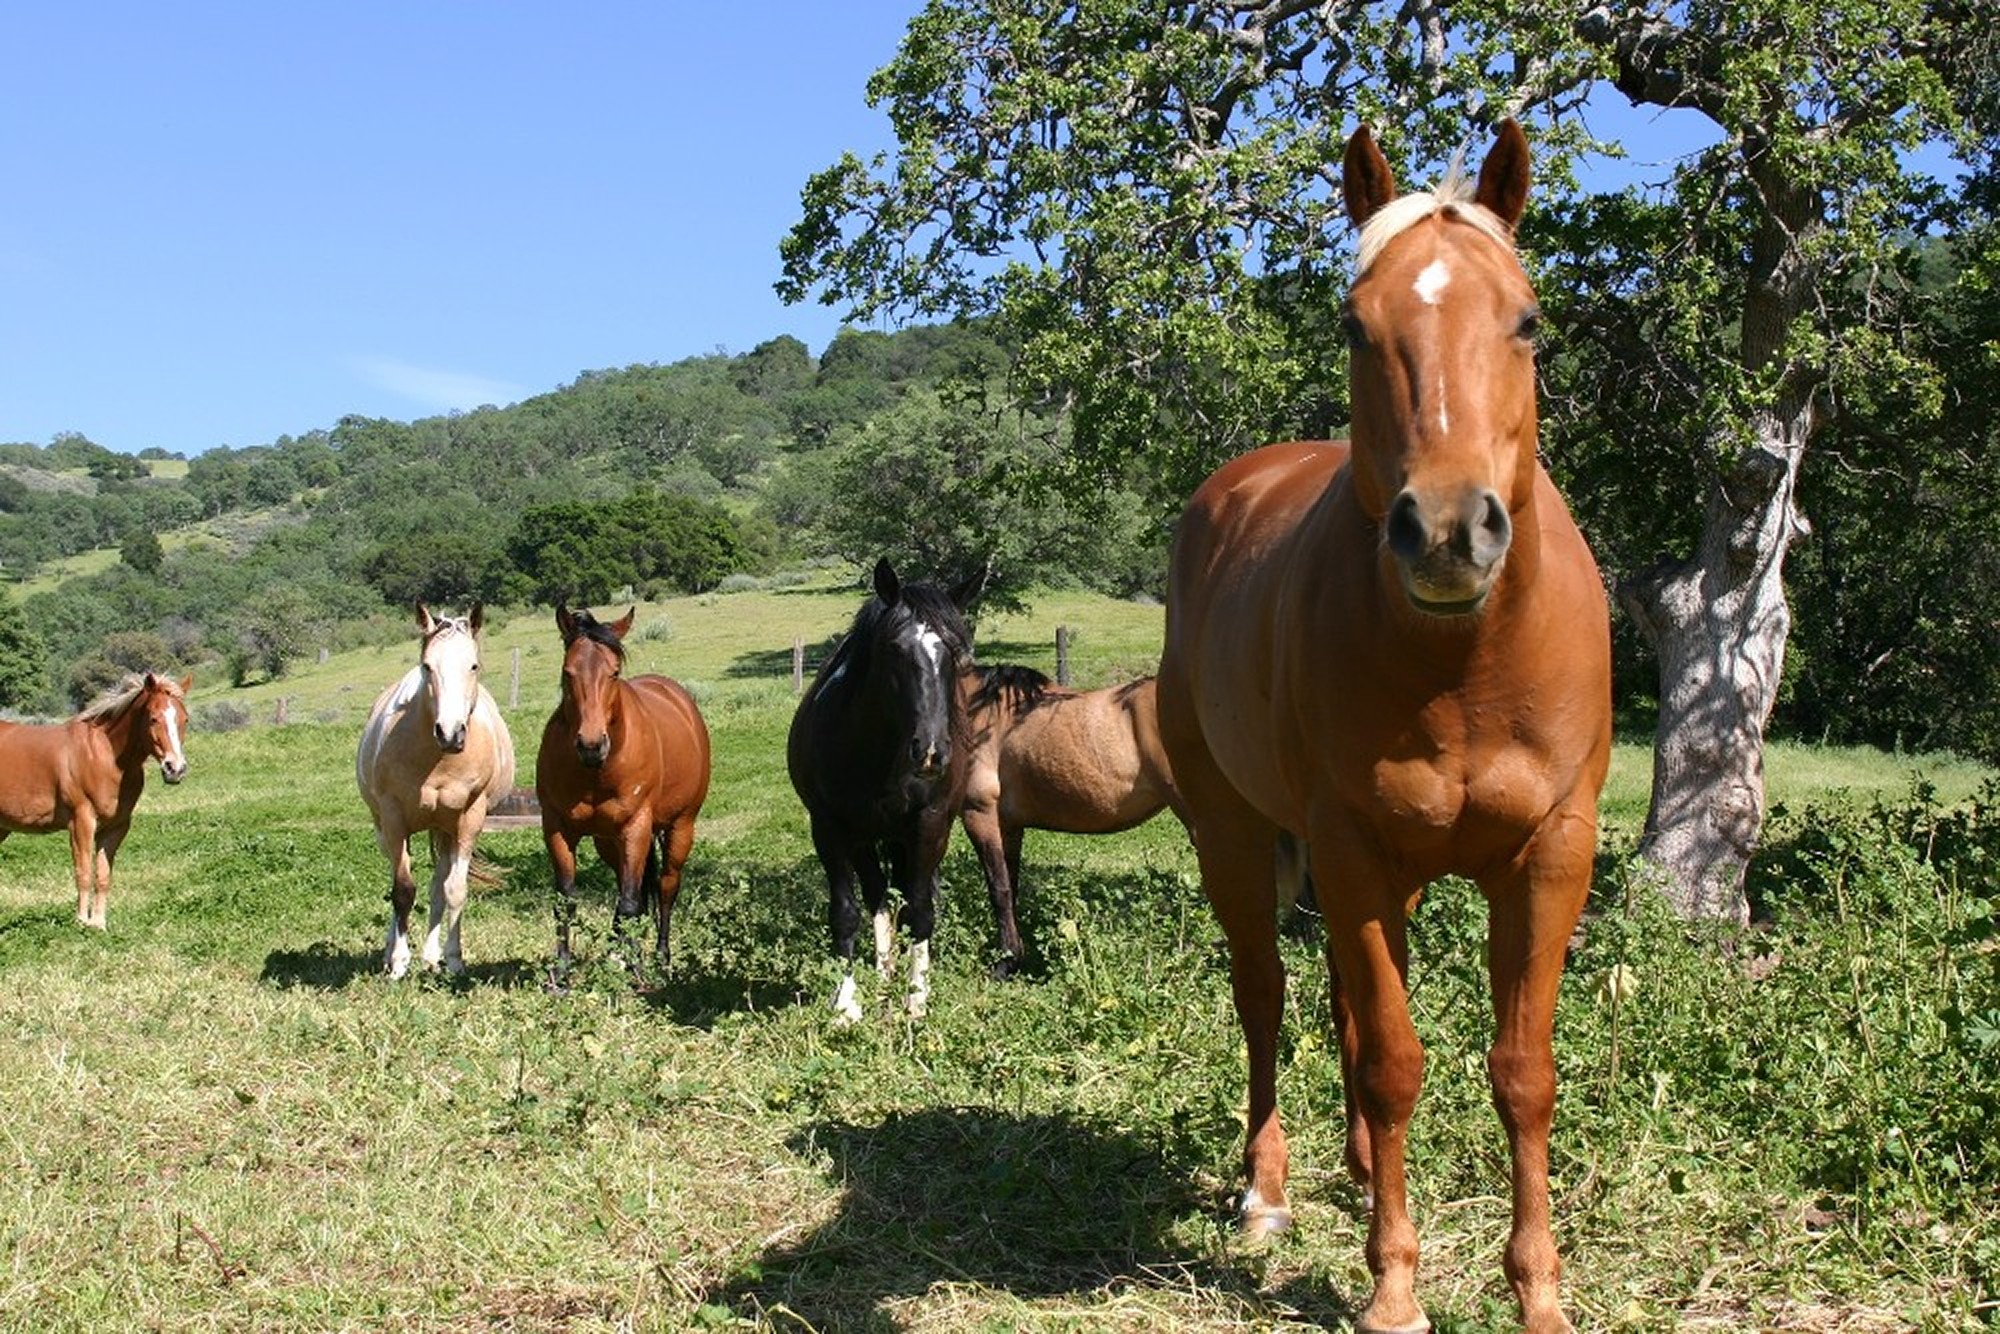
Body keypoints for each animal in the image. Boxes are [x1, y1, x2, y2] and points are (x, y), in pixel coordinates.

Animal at [0, 672, 191, 936]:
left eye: (185, 719)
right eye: (153, 718)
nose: (175, 769)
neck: (104, 756)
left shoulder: (115, 827)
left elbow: (102, 875)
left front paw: (98, 923)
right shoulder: (81, 822)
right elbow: (83, 872)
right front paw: (81, 920)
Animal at [536, 604, 716, 980]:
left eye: (614, 672)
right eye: (567, 672)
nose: (591, 745)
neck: (595, 772)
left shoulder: (636, 827)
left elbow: (632, 901)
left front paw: (633, 967)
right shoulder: (557, 828)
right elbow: (567, 900)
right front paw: (561, 971)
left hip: (679, 828)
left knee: (664, 887)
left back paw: (660, 957)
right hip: (608, 842)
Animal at [784, 560, 972, 1024]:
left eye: (957, 654)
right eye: (894, 650)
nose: (931, 751)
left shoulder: (930, 825)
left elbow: (921, 910)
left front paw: (917, 999)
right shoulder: (830, 829)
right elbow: (846, 913)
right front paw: (846, 1004)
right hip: (867, 839)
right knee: (878, 897)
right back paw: (885, 974)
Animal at [1160, 120, 1608, 1328]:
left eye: (1527, 319)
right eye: (1355, 324)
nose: (1447, 530)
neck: (1462, 667)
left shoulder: (1550, 853)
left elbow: (1522, 1070)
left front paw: (1537, 1290)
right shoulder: (1352, 848)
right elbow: (1395, 1062)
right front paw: (1393, 1288)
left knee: (1344, 1004)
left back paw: (1362, 1171)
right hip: (1237, 838)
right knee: (1267, 998)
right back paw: (1268, 1192)